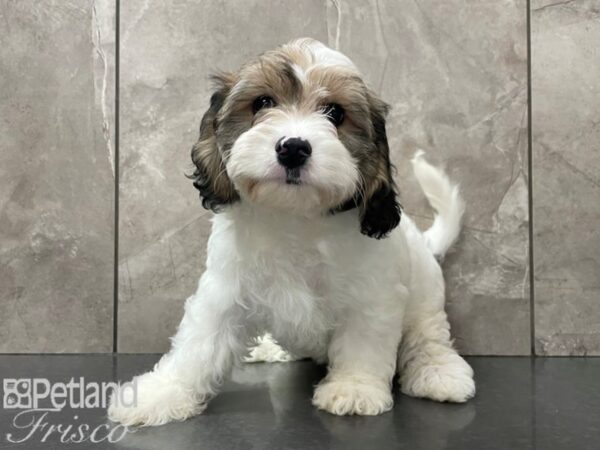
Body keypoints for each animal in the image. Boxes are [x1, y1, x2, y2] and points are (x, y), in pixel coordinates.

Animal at [106, 37, 474, 426]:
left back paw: (439, 372)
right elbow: (199, 344)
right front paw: (161, 393)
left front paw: (354, 388)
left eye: (335, 113)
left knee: (428, 336)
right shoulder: (224, 289)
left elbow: (363, 344)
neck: (295, 217)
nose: (293, 147)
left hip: (425, 297)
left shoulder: (372, 298)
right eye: (263, 103)